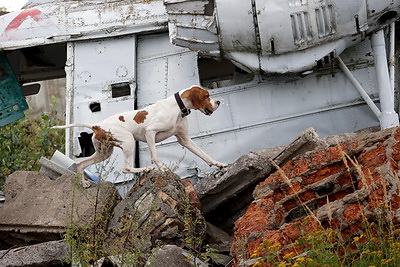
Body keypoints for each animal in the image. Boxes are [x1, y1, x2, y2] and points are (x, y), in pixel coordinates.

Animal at [52, 86, 227, 188]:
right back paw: (146, 169)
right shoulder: (150, 132)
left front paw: (219, 164)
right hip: (129, 141)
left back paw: (83, 183)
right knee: (126, 167)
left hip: (104, 153)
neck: (177, 107)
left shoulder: (185, 140)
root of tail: (97, 125)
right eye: (206, 95)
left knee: (81, 164)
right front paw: (163, 169)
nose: (218, 102)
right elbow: (155, 156)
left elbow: (205, 155)